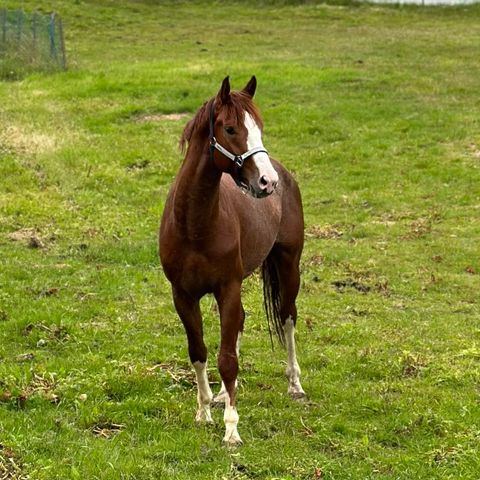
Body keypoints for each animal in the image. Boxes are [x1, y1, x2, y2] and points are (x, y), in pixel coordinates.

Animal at [159, 76, 306, 446]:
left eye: (259, 129)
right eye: (230, 128)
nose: (268, 182)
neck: (195, 225)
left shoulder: (228, 288)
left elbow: (227, 359)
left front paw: (231, 429)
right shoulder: (183, 295)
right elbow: (198, 351)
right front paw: (204, 412)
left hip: (289, 266)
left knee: (288, 318)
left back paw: (295, 385)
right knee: (241, 322)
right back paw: (226, 394)